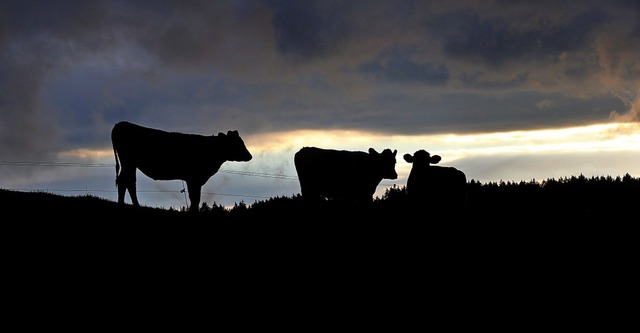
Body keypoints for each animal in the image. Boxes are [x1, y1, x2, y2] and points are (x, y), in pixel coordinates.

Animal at [110, 120, 252, 211]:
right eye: (237, 143)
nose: (250, 156)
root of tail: (120, 124)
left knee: (129, 182)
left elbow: (195, 198)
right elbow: (195, 198)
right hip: (128, 161)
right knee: (124, 181)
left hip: (130, 163)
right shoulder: (193, 178)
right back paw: (124, 205)